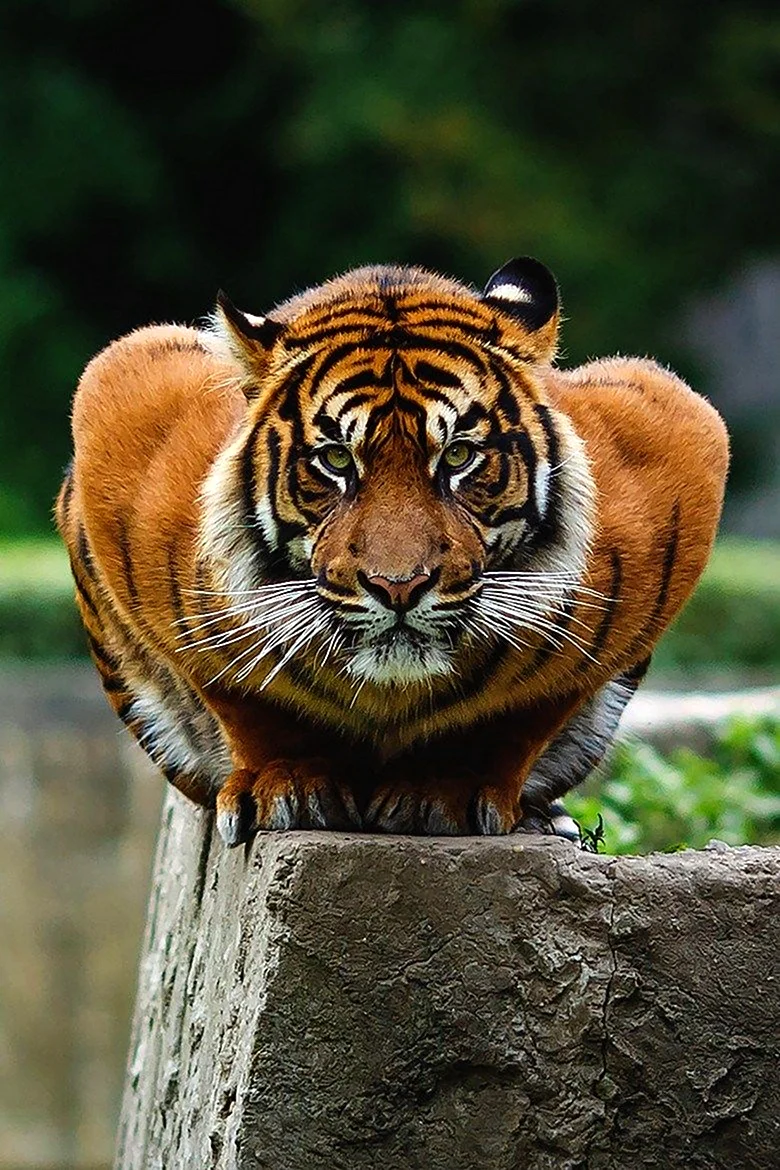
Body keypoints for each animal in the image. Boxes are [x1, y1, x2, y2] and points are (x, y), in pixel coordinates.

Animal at [55, 256, 729, 847]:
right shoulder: (122, 391)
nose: (399, 587)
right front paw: (289, 783)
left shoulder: (678, 435)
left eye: (458, 456)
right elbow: (243, 695)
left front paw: (448, 789)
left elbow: (523, 713)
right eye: (335, 459)